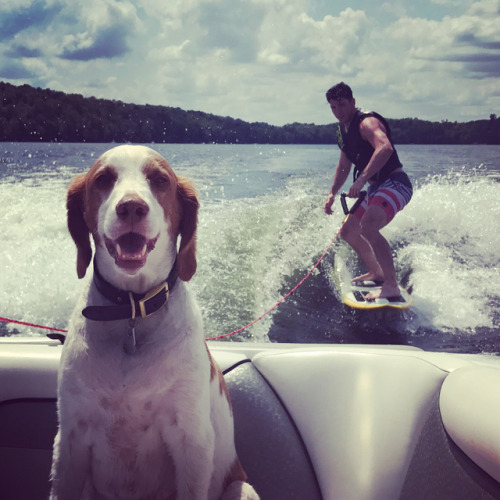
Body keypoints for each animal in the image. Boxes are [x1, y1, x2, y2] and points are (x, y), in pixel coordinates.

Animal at [50, 146, 260, 500]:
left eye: (160, 180)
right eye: (103, 179)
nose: (131, 207)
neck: (132, 312)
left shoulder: (193, 441)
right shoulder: (70, 440)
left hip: (241, 487)